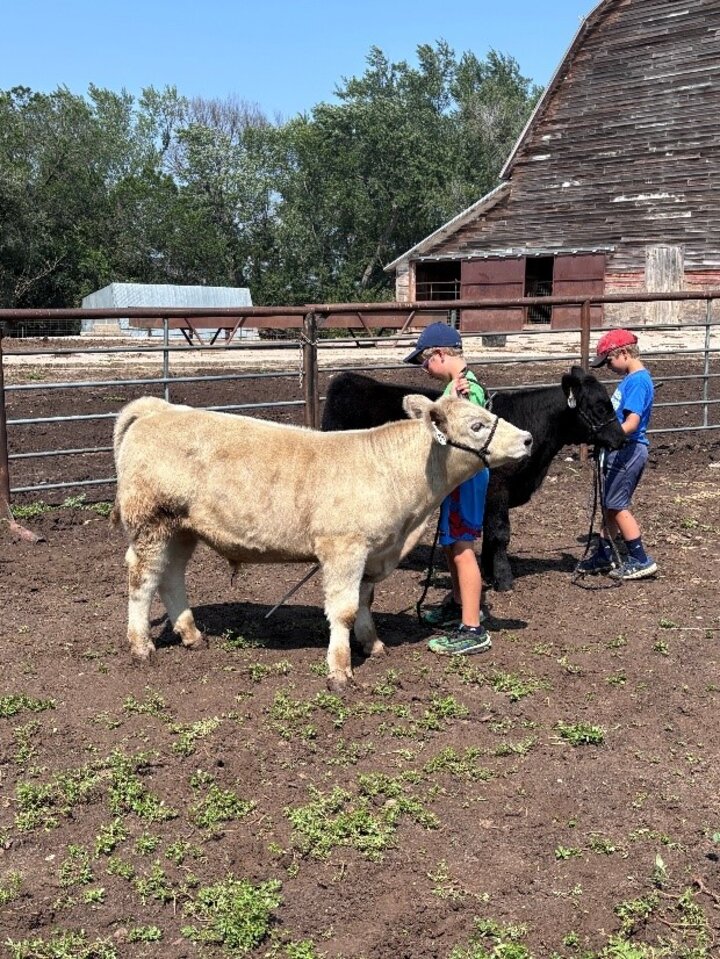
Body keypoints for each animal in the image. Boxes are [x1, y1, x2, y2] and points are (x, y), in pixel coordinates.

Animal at [112, 395, 532, 692]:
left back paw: (192, 636)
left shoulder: (372, 553)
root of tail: (158, 409)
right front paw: (340, 671)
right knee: (142, 580)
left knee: (170, 578)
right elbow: (343, 610)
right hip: (150, 523)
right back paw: (141, 646)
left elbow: (363, 602)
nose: (527, 438)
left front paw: (372, 645)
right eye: (477, 425)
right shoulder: (343, 548)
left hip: (182, 530)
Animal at [321, 366, 626, 592]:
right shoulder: (497, 490)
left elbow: (491, 535)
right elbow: (501, 533)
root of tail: (348, 380)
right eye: (600, 407)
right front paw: (504, 579)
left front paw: (490, 573)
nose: (621, 439)